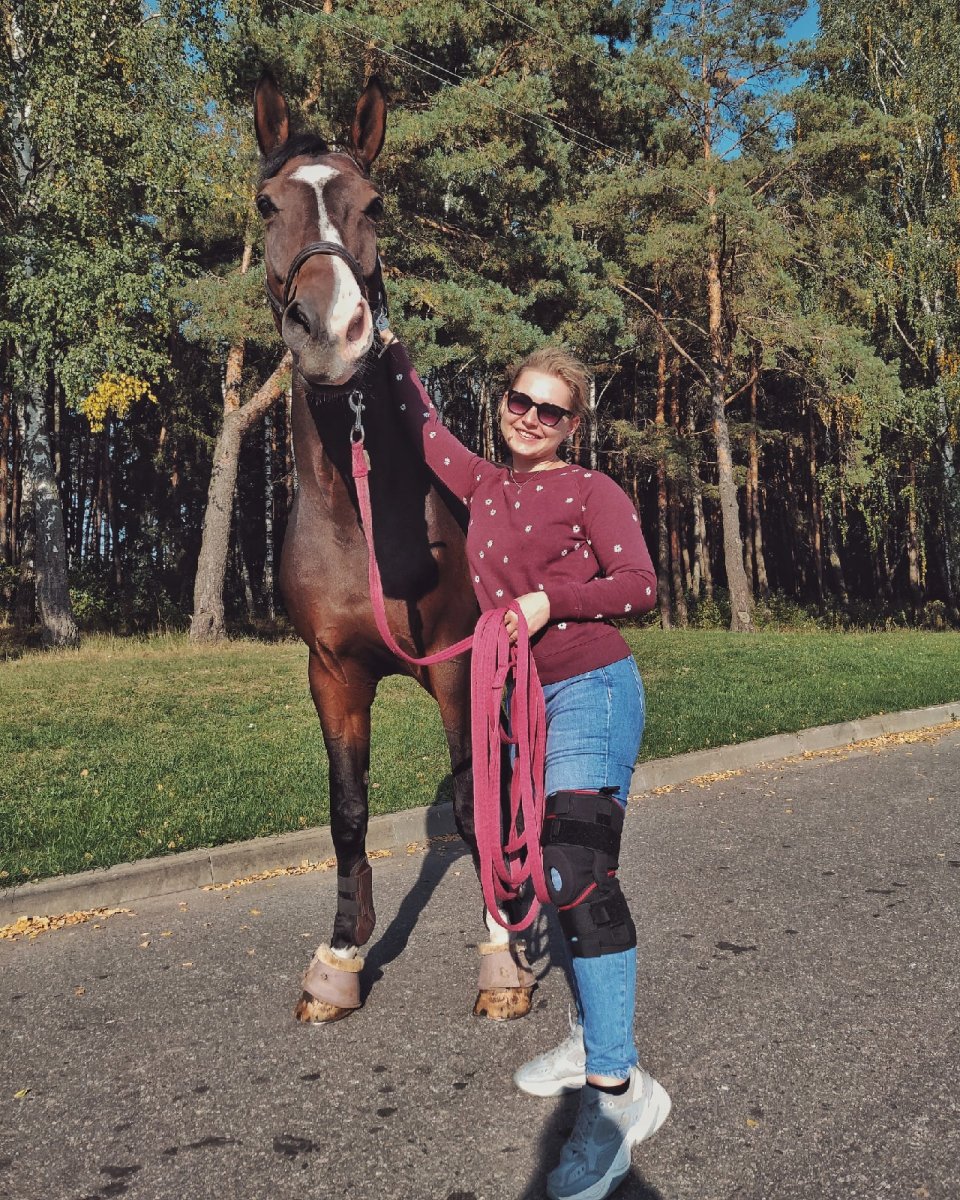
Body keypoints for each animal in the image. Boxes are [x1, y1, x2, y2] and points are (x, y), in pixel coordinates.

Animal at [252, 71, 534, 1023]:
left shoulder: (458, 666)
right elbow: (347, 809)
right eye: (265, 204)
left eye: (372, 203)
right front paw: (341, 956)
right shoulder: (332, 674)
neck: (362, 519)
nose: (329, 329)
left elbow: (473, 801)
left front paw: (501, 957)